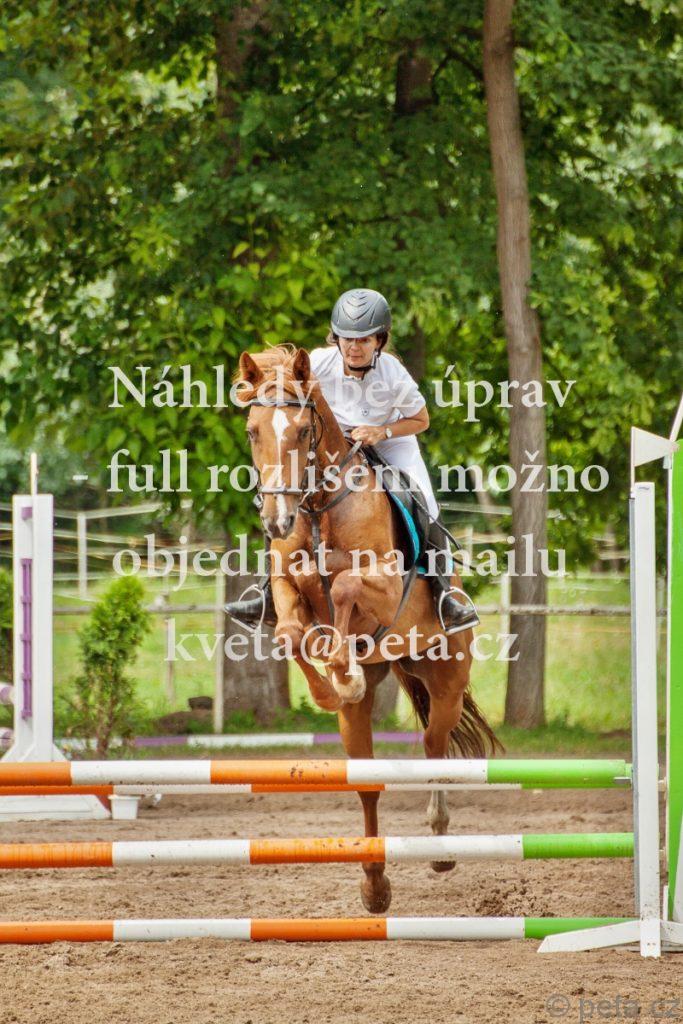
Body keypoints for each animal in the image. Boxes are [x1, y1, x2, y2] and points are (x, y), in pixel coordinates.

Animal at [234, 345, 500, 913]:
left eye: (302, 432)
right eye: (252, 430)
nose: (276, 520)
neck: (318, 510)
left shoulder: (386, 588)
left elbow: (344, 586)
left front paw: (343, 667)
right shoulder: (285, 583)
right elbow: (292, 632)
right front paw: (332, 683)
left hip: (446, 678)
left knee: (433, 743)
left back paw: (440, 847)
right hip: (366, 717)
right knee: (368, 782)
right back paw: (375, 887)